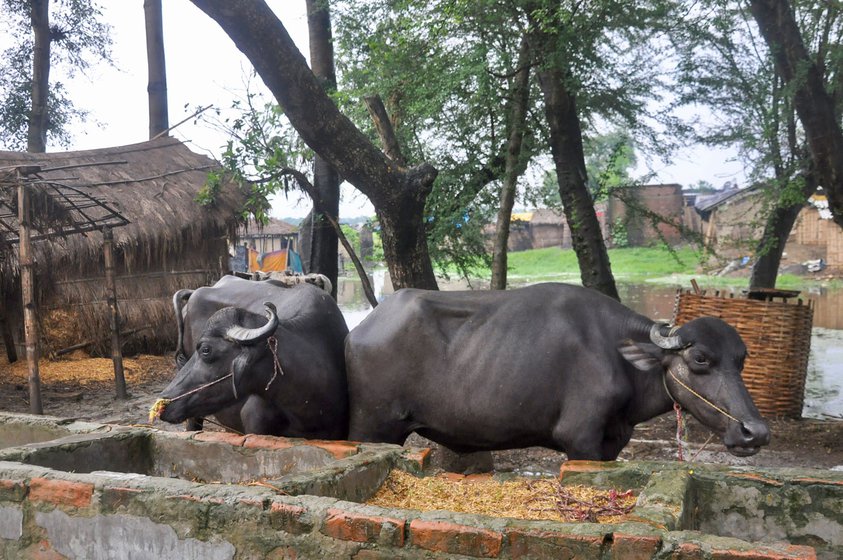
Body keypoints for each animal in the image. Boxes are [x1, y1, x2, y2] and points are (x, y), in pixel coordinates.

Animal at [344, 282, 772, 462]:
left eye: (742, 359)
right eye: (700, 358)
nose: (755, 432)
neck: (617, 355)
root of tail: (358, 331)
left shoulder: (613, 441)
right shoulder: (579, 438)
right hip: (372, 426)